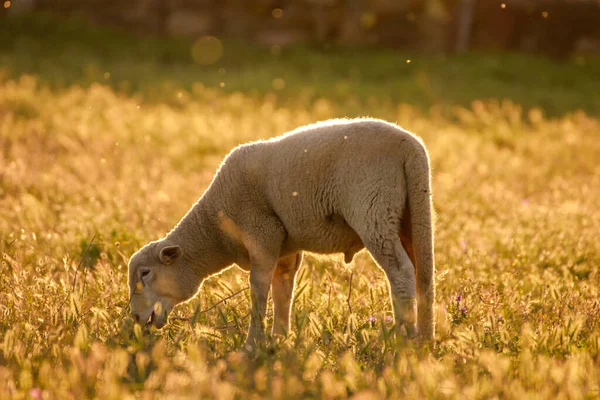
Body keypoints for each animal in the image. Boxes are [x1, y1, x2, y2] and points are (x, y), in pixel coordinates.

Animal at [127, 117, 436, 348]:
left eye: (146, 273)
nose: (135, 318)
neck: (214, 230)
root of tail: (411, 147)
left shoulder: (262, 233)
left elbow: (259, 290)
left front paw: (253, 344)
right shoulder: (287, 249)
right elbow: (283, 291)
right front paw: (280, 339)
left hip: (374, 210)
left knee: (401, 272)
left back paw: (404, 340)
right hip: (412, 215)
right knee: (424, 275)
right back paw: (424, 342)